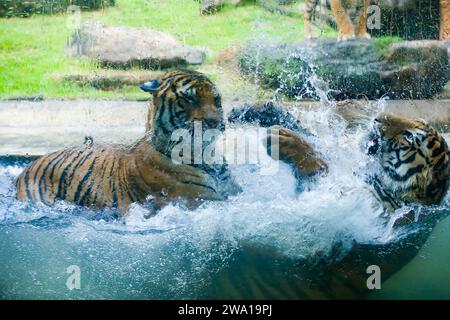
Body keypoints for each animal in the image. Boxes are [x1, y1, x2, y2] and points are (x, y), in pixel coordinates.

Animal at [14, 70, 243, 215]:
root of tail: (28, 167)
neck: (205, 153)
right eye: (189, 98)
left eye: (216, 99)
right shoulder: (203, 200)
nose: (215, 122)